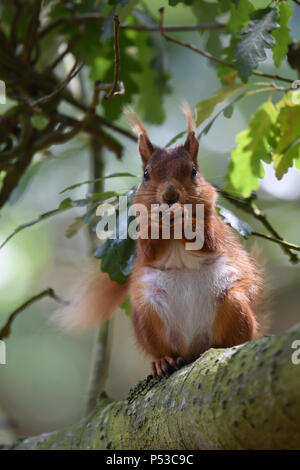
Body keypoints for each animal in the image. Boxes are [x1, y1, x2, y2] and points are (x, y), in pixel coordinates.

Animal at [56, 104, 262, 376]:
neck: (173, 231)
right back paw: (163, 360)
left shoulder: (215, 228)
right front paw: (156, 223)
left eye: (193, 171)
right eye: (146, 174)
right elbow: (149, 249)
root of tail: (192, 347)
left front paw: (185, 217)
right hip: (146, 314)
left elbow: (209, 240)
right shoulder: (142, 243)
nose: (170, 196)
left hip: (235, 305)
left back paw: (224, 345)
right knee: (162, 347)